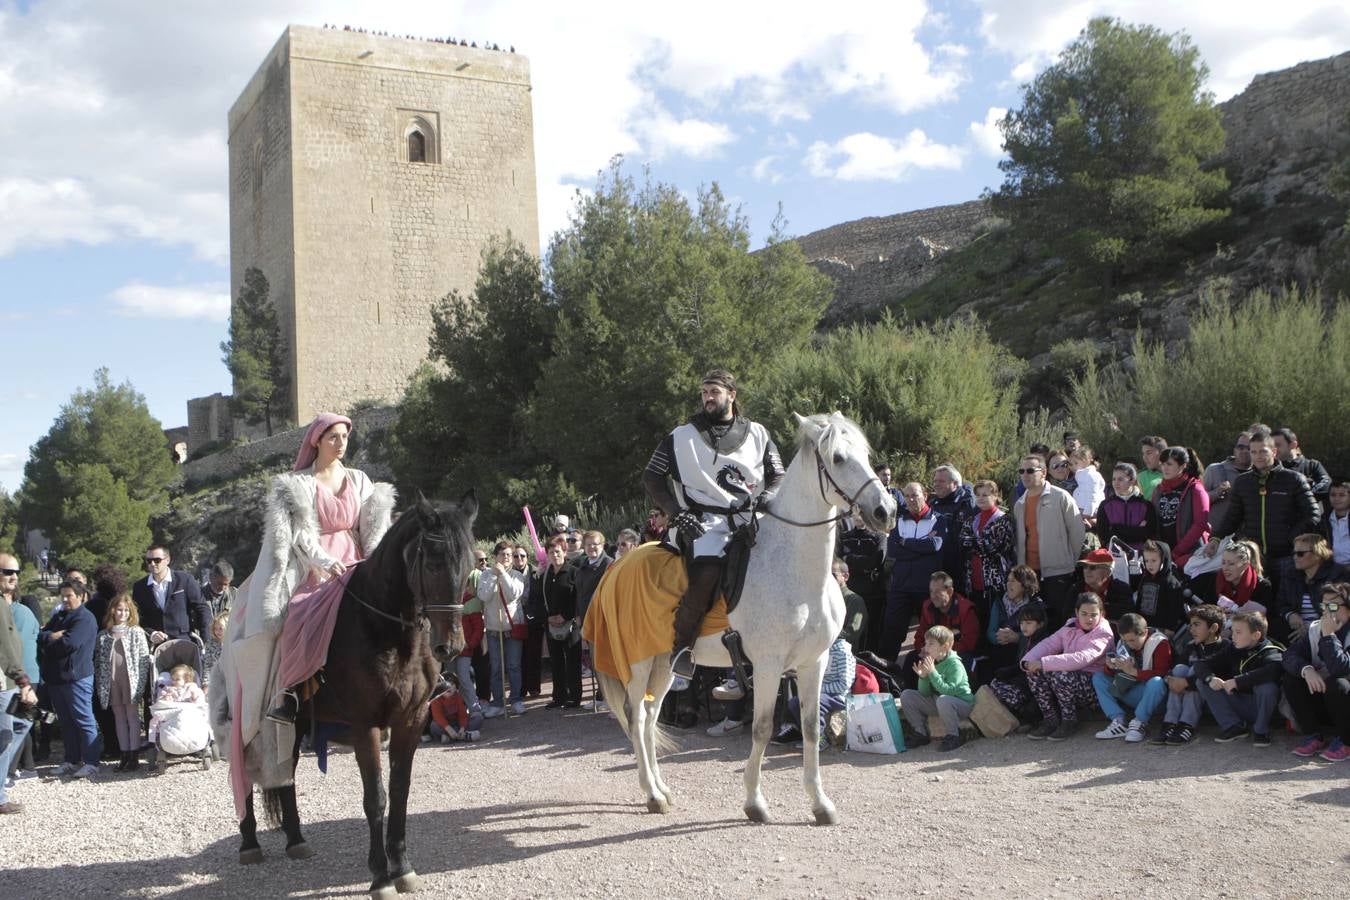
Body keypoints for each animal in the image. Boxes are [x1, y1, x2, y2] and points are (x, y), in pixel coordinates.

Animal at [240, 493, 477, 900]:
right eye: (433, 563)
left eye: (471, 566)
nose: (451, 646)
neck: (388, 632)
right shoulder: (366, 725)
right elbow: (375, 798)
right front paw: (381, 877)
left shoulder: (411, 720)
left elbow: (399, 791)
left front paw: (403, 867)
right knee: (243, 773)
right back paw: (249, 843)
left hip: (297, 727)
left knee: (287, 775)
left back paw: (296, 839)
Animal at [594, 412, 896, 825]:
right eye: (836, 458)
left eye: (865, 455)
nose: (886, 512)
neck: (794, 569)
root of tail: (617, 567)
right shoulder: (768, 666)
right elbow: (763, 728)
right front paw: (755, 802)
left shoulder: (813, 662)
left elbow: (809, 729)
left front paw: (820, 803)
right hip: (638, 663)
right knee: (637, 715)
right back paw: (652, 794)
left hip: (665, 660)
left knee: (652, 715)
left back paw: (661, 788)